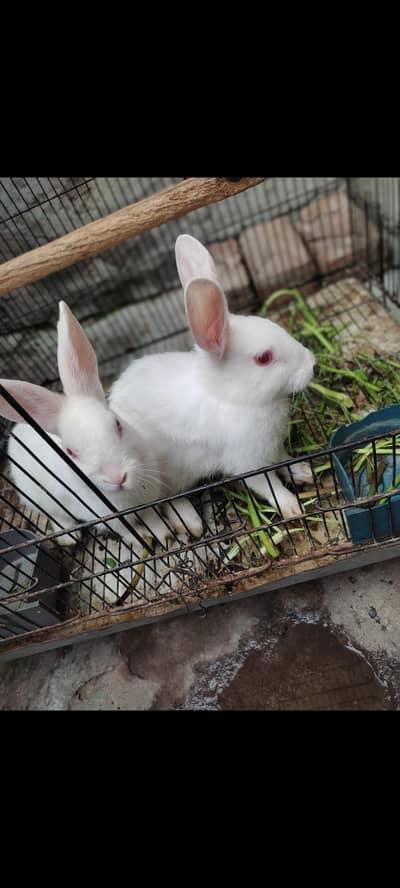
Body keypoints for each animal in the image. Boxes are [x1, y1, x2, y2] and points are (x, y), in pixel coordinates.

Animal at [0, 301, 202, 547]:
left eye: (117, 424)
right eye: (70, 452)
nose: (118, 477)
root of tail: (16, 432)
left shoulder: (148, 500)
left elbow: (151, 516)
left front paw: (162, 534)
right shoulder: (106, 518)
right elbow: (127, 531)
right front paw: (147, 538)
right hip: (39, 498)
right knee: (55, 516)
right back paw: (70, 537)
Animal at [109, 234, 316, 520]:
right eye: (264, 358)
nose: (312, 364)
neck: (233, 398)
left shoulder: (271, 448)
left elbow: (284, 460)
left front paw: (304, 472)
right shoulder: (246, 462)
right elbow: (268, 486)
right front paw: (292, 507)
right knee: (165, 500)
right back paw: (190, 521)